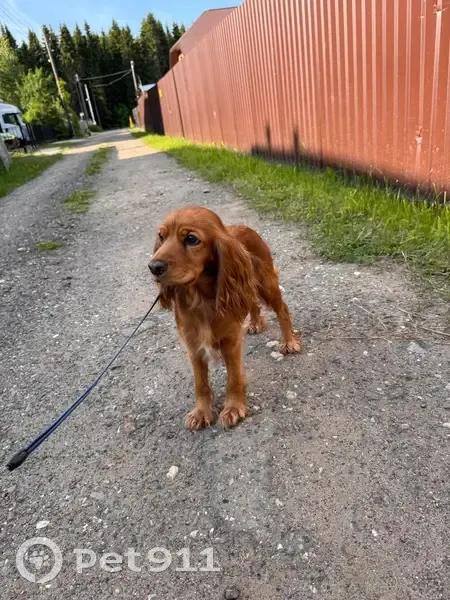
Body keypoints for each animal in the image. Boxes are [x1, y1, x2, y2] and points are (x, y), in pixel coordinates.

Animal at [149, 206, 302, 430]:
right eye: (161, 236)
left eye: (191, 239)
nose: (153, 266)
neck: (200, 299)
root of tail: (247, 228)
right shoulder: (193, 346)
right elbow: (200, 384)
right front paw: (201, 412)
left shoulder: (231, 342)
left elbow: (234, 378)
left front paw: (233, 408)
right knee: (252, 303)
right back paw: (255, 323)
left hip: (266, 284)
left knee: (282, 309)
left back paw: (289, 341)